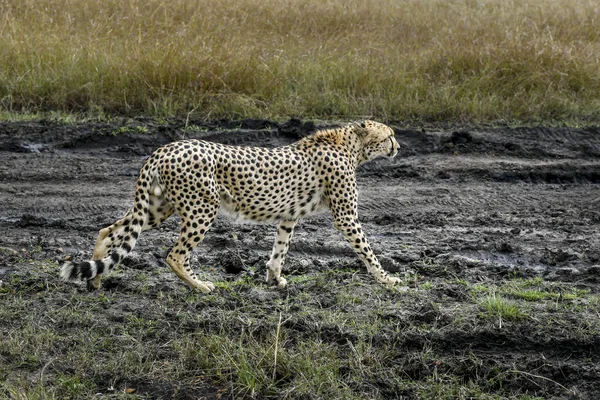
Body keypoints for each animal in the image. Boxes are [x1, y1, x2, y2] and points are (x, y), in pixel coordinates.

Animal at [61, 120, 404, 292]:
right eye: (389, 135)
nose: (399, 147)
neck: (350, 146)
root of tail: (165, 147)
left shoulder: (288, 216)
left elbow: (279, 250)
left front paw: (274, 279)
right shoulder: (346, 217)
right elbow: (366, 250)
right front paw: (386, 279)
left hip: (158, 207)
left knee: (109, 230)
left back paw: (95, 278)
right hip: (202, 208)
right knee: (174, 255)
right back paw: (200, 286)